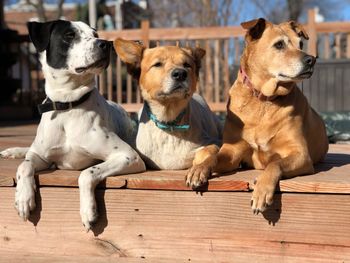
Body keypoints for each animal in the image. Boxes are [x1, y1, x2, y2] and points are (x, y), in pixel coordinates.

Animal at [0, 20, 145, 231]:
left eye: (95, 34)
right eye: (69, 35)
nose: (105, 44)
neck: (67, 105)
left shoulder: (129, 156)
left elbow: (86, 173)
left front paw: (88, 210)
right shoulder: (40, 157)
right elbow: (24, 166)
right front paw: (23, 198)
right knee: (27, 152)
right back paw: (13, 151)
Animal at [113, 39, 221, 188]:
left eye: (187, 65)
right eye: (157, 64)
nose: (180, 73)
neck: (169, 121)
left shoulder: (214, 142)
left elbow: (209, 152)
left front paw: (198, 169)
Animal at [198, 18, 330, 213]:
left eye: (301, 44)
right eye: (279, 44)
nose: (311, 59)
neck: (263, 100)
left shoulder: (301, 155)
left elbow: (275, 163)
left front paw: (261, 190)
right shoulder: (232, 152)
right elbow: (214, 157)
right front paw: (199, 169)